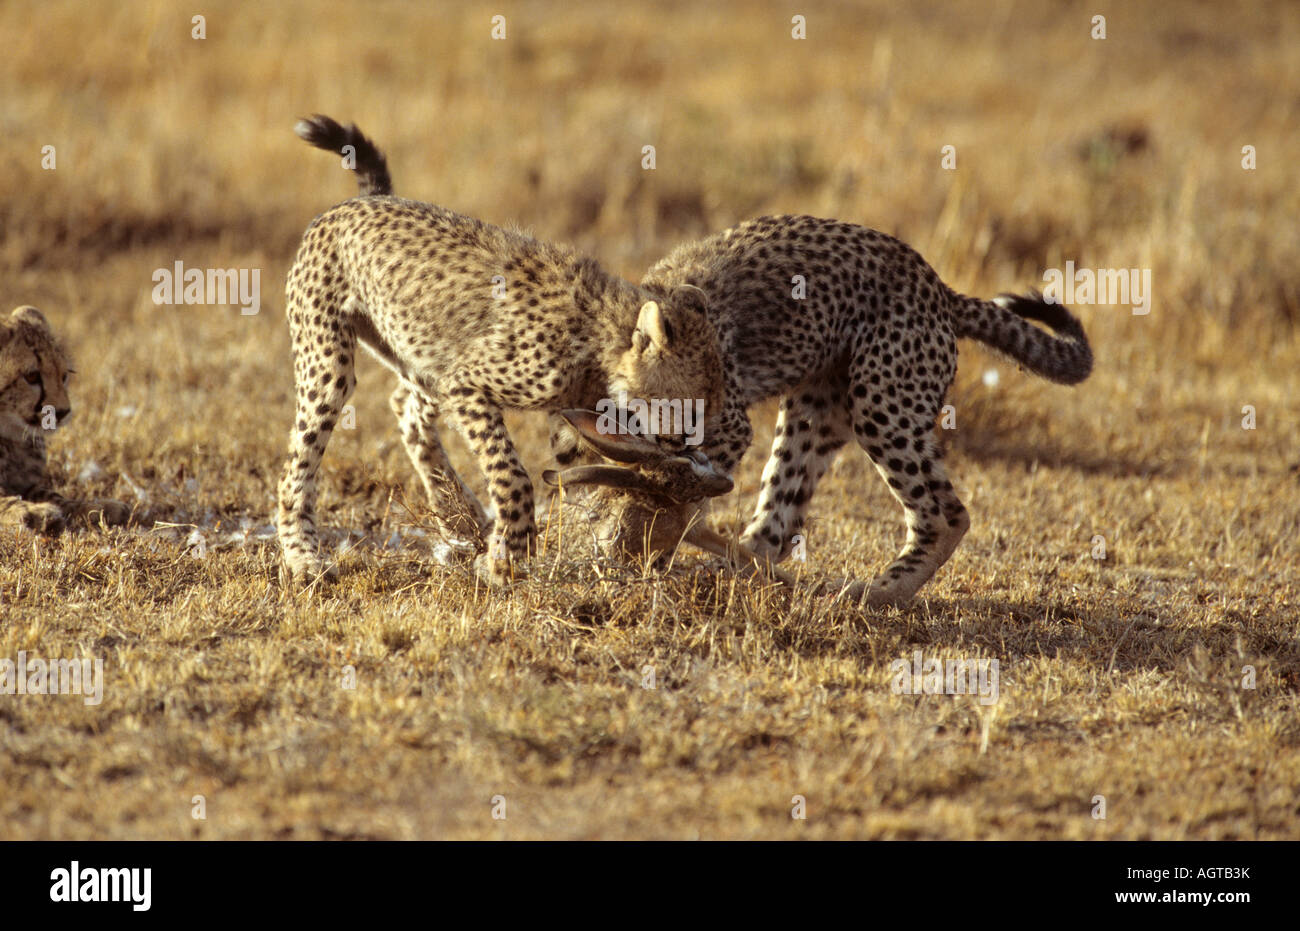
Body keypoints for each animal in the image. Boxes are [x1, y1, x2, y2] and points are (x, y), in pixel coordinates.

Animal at [0, 306, 131, 530]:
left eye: (64, 375)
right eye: (31, 376)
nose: (62, 412)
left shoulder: (27, 483)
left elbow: (54, 495)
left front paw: (97, 507)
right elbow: (4, 500)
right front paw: (31, 512)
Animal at [279, 116, 728, 582]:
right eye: (692, 411)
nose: (691, 447)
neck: (603, 342)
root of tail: (361, 202)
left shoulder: (551, 413)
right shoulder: (467, 383)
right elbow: (512, 473)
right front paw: (507, 556)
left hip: (422, 354)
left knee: (405, 407)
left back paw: (459, 517)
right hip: (330, 363)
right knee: (300, 460)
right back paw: (303, 556)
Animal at [553, 214, 1092, 608]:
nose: (679, 442)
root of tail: (939, 287)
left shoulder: (728, 427)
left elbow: (675, 495)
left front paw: (638, 545)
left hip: (881, 405)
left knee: (946, 515)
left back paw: (877, 594)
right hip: (816, 410)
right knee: (779, 522)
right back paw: (735, 573)